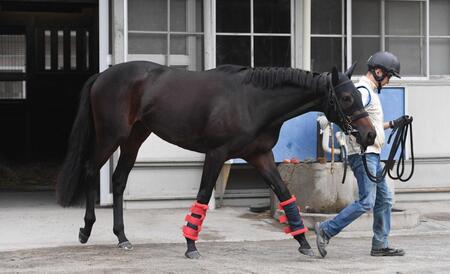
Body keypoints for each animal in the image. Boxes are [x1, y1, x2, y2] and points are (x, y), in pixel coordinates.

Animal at [55, 60, 372, 260]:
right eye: (346, 98)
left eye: (359, 95)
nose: (369, 135)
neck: (253, 100)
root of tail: (103, 75)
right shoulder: (217, 154)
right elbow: (204, 194)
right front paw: (190, 245)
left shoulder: (260, 156)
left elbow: (285, 194)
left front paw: (304, 242)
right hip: (112, 136)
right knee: (90, 170)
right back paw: (86, 229)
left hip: (135, 138)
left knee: (119, 180)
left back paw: (122, 238)